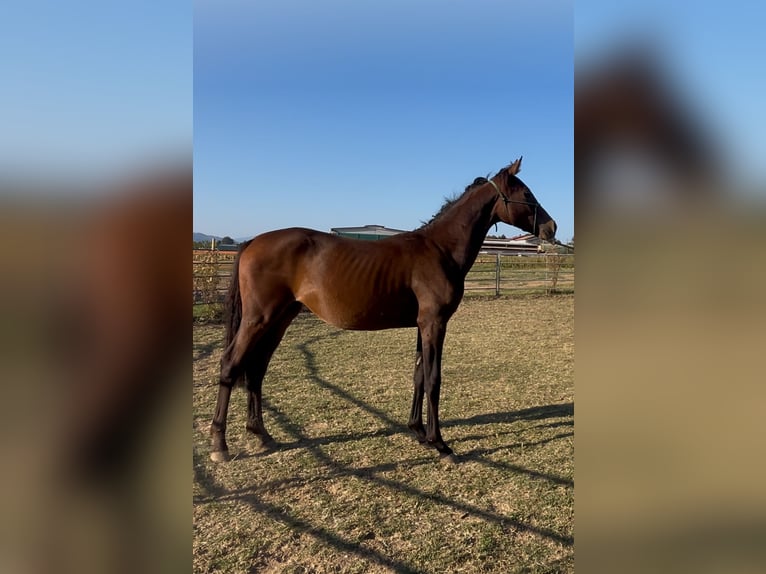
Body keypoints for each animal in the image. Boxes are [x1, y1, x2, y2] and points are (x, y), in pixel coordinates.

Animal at [210, 157, 557, 463]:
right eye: (527, 194)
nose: (551, 228)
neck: (440, 249)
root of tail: (252, 242)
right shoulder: (434, 323)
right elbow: (433, 378)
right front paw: (440, 444)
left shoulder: (422, 325)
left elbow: (418, 376)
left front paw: (418, 432)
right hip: (258, 319)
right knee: (230, 365)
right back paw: (219, 445)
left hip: (279, 319)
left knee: (256, 370)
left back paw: (261, 434)